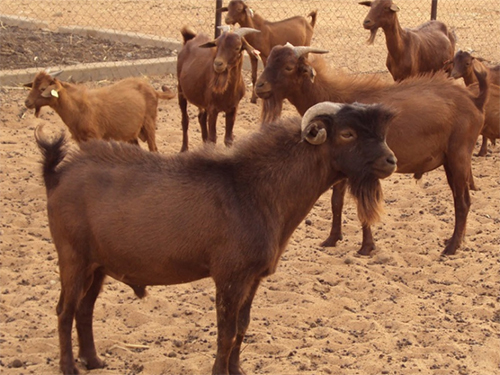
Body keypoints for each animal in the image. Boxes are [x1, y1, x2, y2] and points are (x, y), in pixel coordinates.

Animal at [24, 70, 175, 151]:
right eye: (33, 85)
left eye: (43, 88)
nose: (27, 102)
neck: (77, 108)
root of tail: (154, 91)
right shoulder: (80, 139)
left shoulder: (94, 136)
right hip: (130, 132)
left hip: (149, 123)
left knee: (153, 149)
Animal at [35, 101, 396, 374]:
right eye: (347, 133)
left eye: (380, 133)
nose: (390, 160)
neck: (255, 190)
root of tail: (57, 176)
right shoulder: (229, 275)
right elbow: (226, 333)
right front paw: (220, 370)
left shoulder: (253, 277)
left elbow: (242, 327)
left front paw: (236, 370)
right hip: (73, 256)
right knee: (65, 310)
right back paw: (69, 367)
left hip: (97, 264)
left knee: (84, 309)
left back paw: (93, 360)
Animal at [178, 25, 260, 153]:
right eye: (217, 44)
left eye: (237, 47)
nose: (218, 64)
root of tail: (189, 39)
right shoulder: (213, 109)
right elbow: (213, 139)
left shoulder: (233, 108)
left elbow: (228, 139)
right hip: (181, 90)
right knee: (185, 120)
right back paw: (184, 148)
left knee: (201, 118)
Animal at [256, 43, 490, 256]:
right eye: (267, 62)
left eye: (288, 67)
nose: (259, 86)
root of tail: (475, 100)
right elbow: (336, 202)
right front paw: (332, 239)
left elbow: (362, 208)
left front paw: (366, 247)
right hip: (450, 161)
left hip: (459, 157)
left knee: (463, 202)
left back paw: (452, 247)